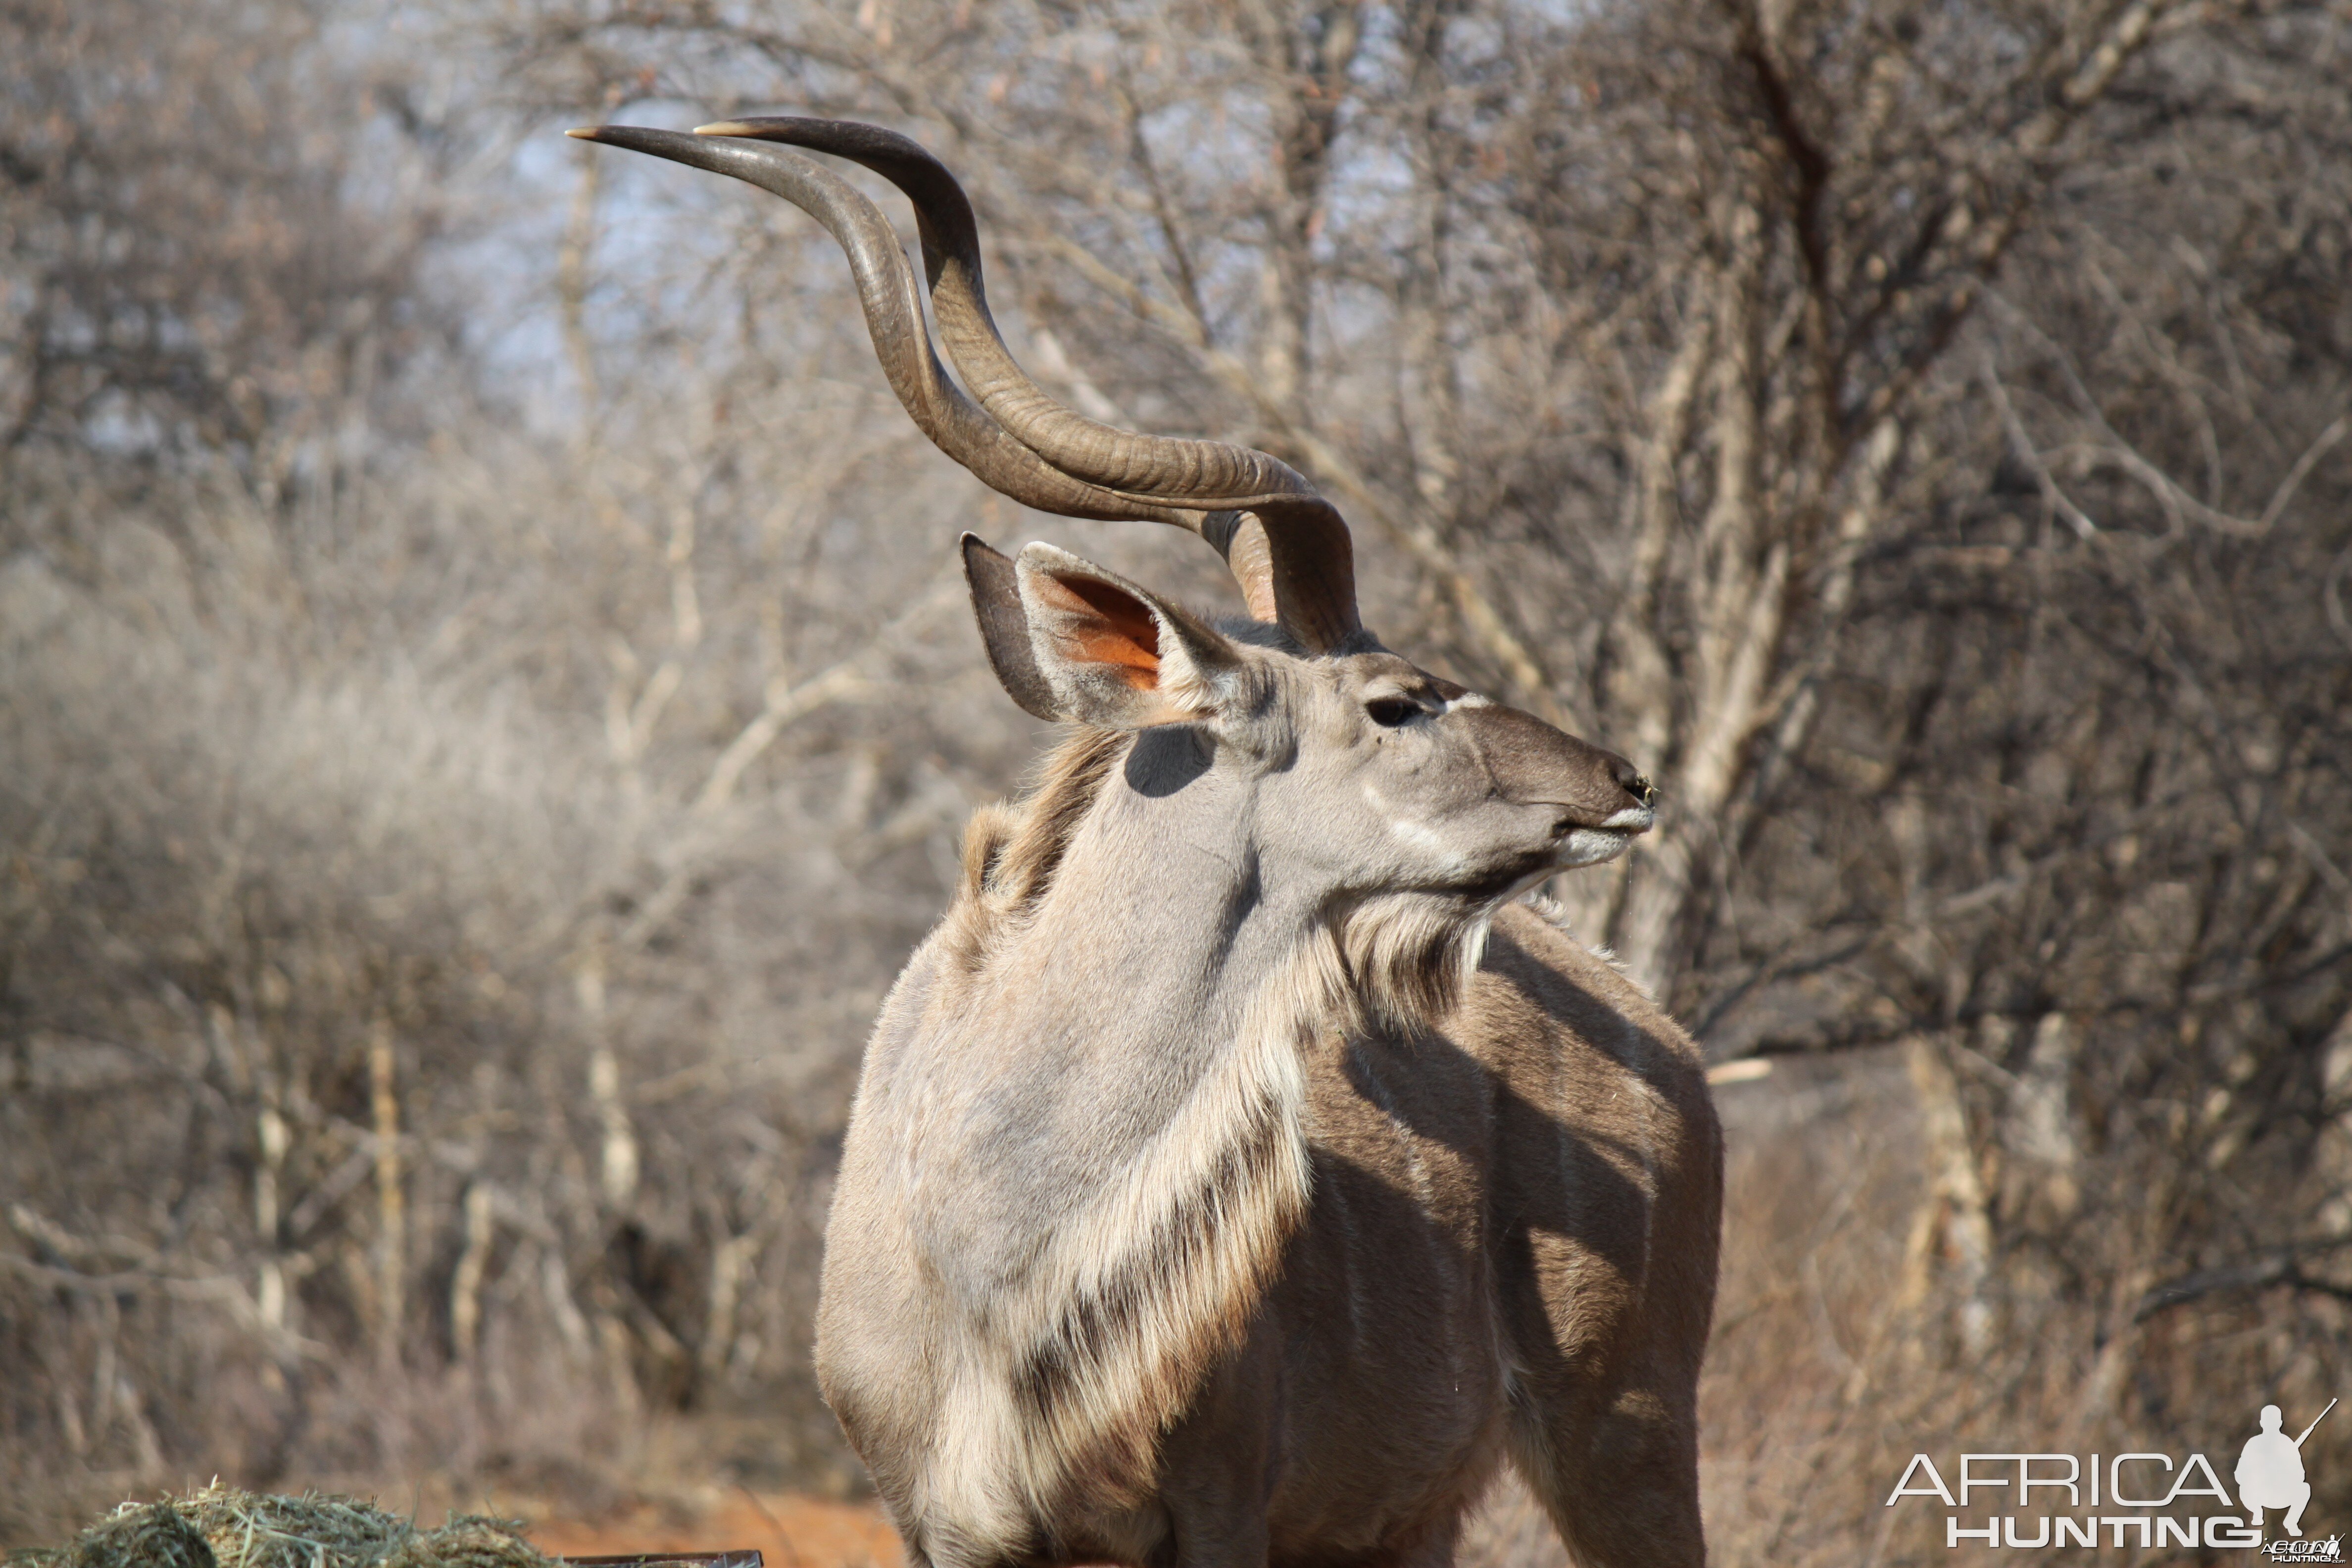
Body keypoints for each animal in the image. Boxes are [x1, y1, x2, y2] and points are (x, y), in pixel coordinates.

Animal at [576, 116, 1721, 1561]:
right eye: (1394, 700)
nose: (1622, 780)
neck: (995, 1239)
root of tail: (1665, 1044)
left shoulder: (1221, 1504)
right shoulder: (938, 1523)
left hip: (1622, 1431)